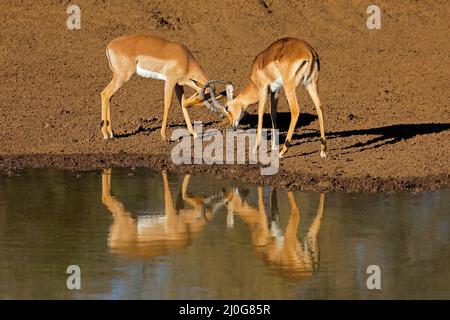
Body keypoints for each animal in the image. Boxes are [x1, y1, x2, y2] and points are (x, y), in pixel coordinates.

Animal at [100, 33, 230, 141]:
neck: (186, 60)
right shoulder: (170, 81)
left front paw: (194, 133)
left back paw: (111, 133)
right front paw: (163, 136)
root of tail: (109, 46)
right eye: (201, 98)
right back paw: (105, 134)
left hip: (118, 77)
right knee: (105, 94)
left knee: (108, 96)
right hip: (122, 76)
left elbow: (182, 106)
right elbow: (168, 104)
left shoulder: (178, 85)